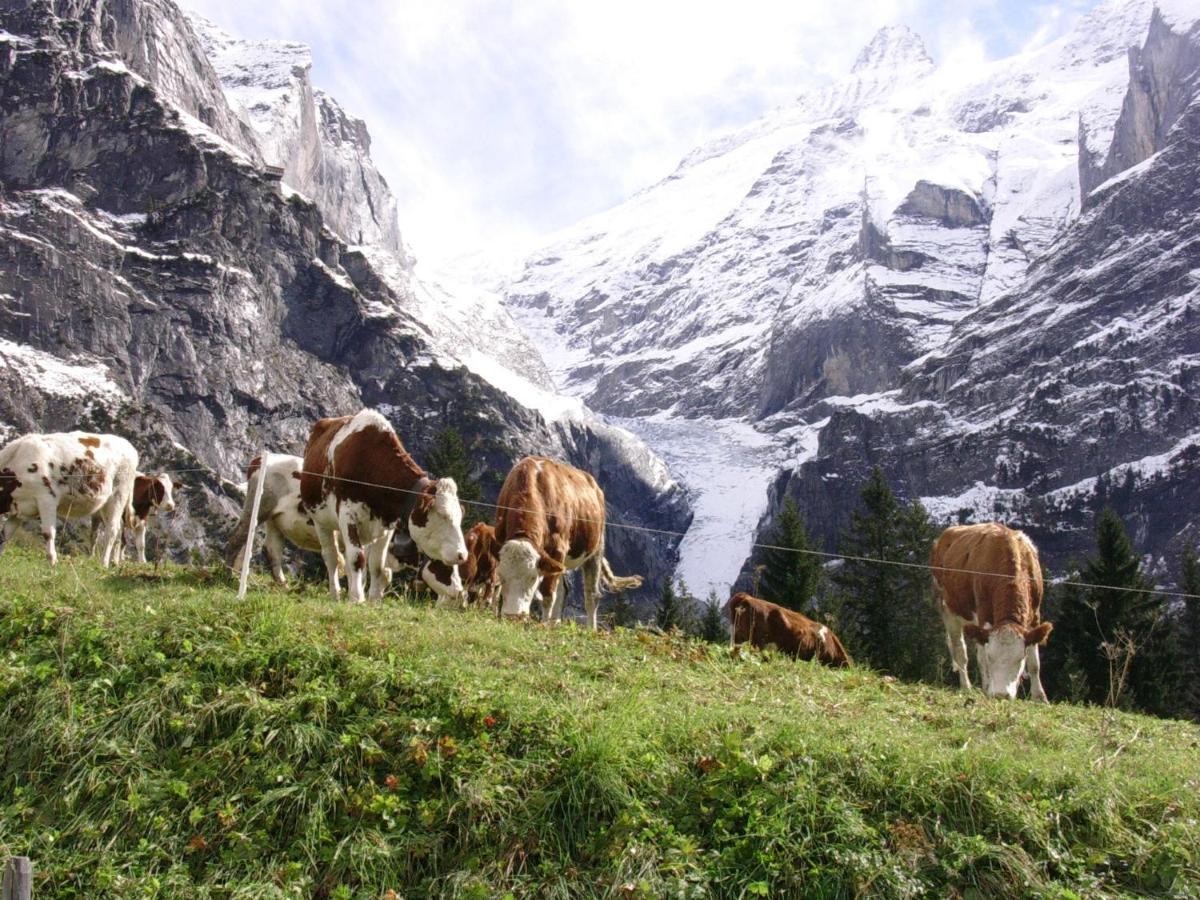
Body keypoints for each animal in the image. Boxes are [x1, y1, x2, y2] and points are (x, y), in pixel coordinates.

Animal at [0, 434, 138, 566]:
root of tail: (128, 445)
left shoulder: (47, 499)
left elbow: (48, 533)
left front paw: (52, 561)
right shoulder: (19, 510)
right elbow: (4, 534)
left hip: (118, 495)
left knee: (112, 530)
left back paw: (104, 563)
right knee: (119, 530)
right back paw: (114, 562)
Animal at [300, 412, 468, 602]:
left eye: (459, 517)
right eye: (443, 514)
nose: (462, 555)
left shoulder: (386, 525)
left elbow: (377, 565)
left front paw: (373, 600)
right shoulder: (347, 515)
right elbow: (356, 558)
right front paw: (357, 598)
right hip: (321, 521)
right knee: (331, 557)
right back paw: (335, 594)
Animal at [494, 453, 643, 628]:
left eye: (532, 578)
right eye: (501, 576)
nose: (513, 617)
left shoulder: (558, 549)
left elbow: (547, 594)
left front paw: (542, 626)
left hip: (595, 548)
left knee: (592, 595)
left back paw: (590, 629)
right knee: (563, 590)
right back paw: (554, 624)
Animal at [926, 520, 1051, 705]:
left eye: (1020, 659)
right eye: (992, 657)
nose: (1001, 695)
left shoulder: (1035, 615)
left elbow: (1034, 663)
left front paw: (1040, 697)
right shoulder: (983, 615)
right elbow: (983, 658)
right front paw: (986, 688)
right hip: (947, 608)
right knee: (960, 650)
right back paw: (967, 686)